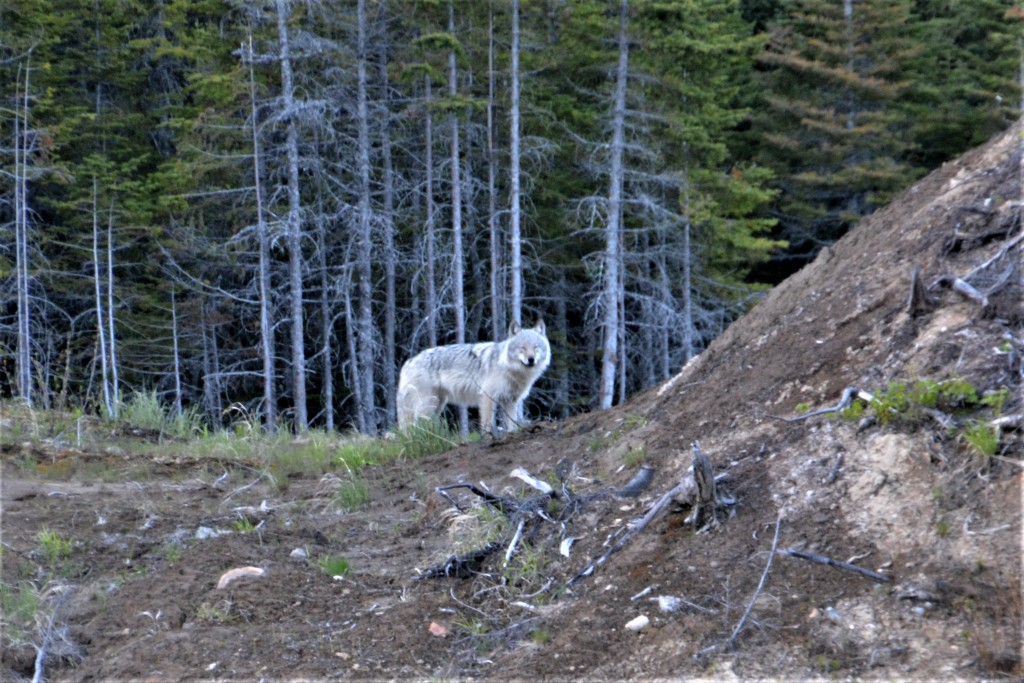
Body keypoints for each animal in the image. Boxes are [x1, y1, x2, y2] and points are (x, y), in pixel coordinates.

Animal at [395, 319, 552, 432]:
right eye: (522, 348)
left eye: (536, 347)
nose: (531, 359)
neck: (509, 368)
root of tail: (408, 362)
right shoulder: (487, 397)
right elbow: (487, 424)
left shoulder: (510, 401)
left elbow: (512, 425)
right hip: (428, 404)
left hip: (437, 405)